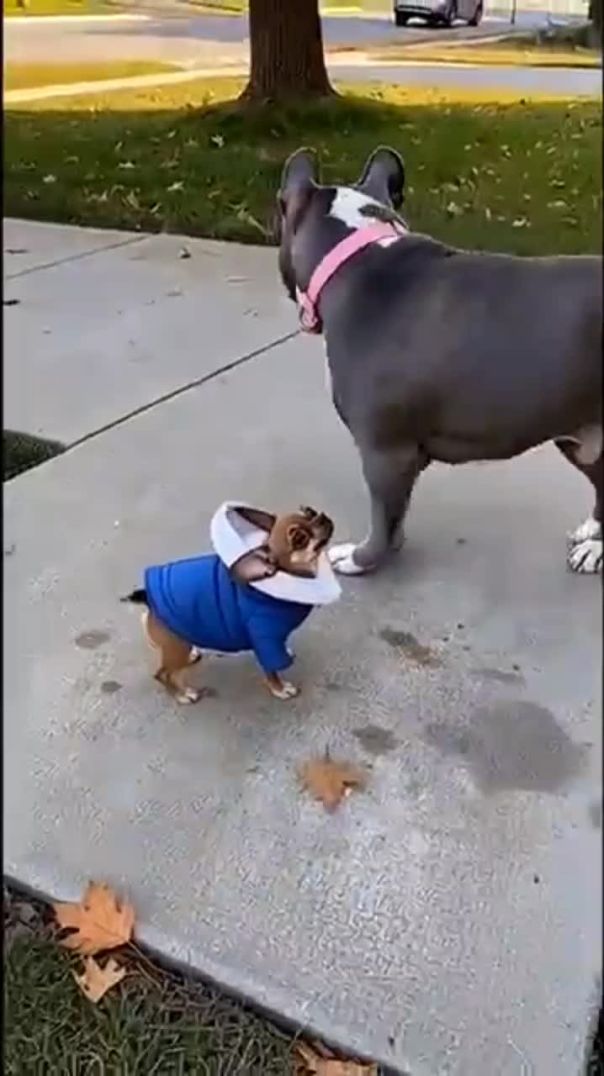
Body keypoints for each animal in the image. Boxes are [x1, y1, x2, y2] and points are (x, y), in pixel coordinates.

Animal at [122, 503, 338, 704]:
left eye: (308, 512)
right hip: (175, 649)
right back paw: (182, 694)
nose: (321, 516)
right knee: (163, 674)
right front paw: (280, 688)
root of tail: (147, 596)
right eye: (300, 538)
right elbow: (272, 671)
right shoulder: (265, 640)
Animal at [277, 146, 603, 577]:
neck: (360, 252)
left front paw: (362, 559)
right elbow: (395, 515)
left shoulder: (385, 452)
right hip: (579, 435)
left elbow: (381, 518)